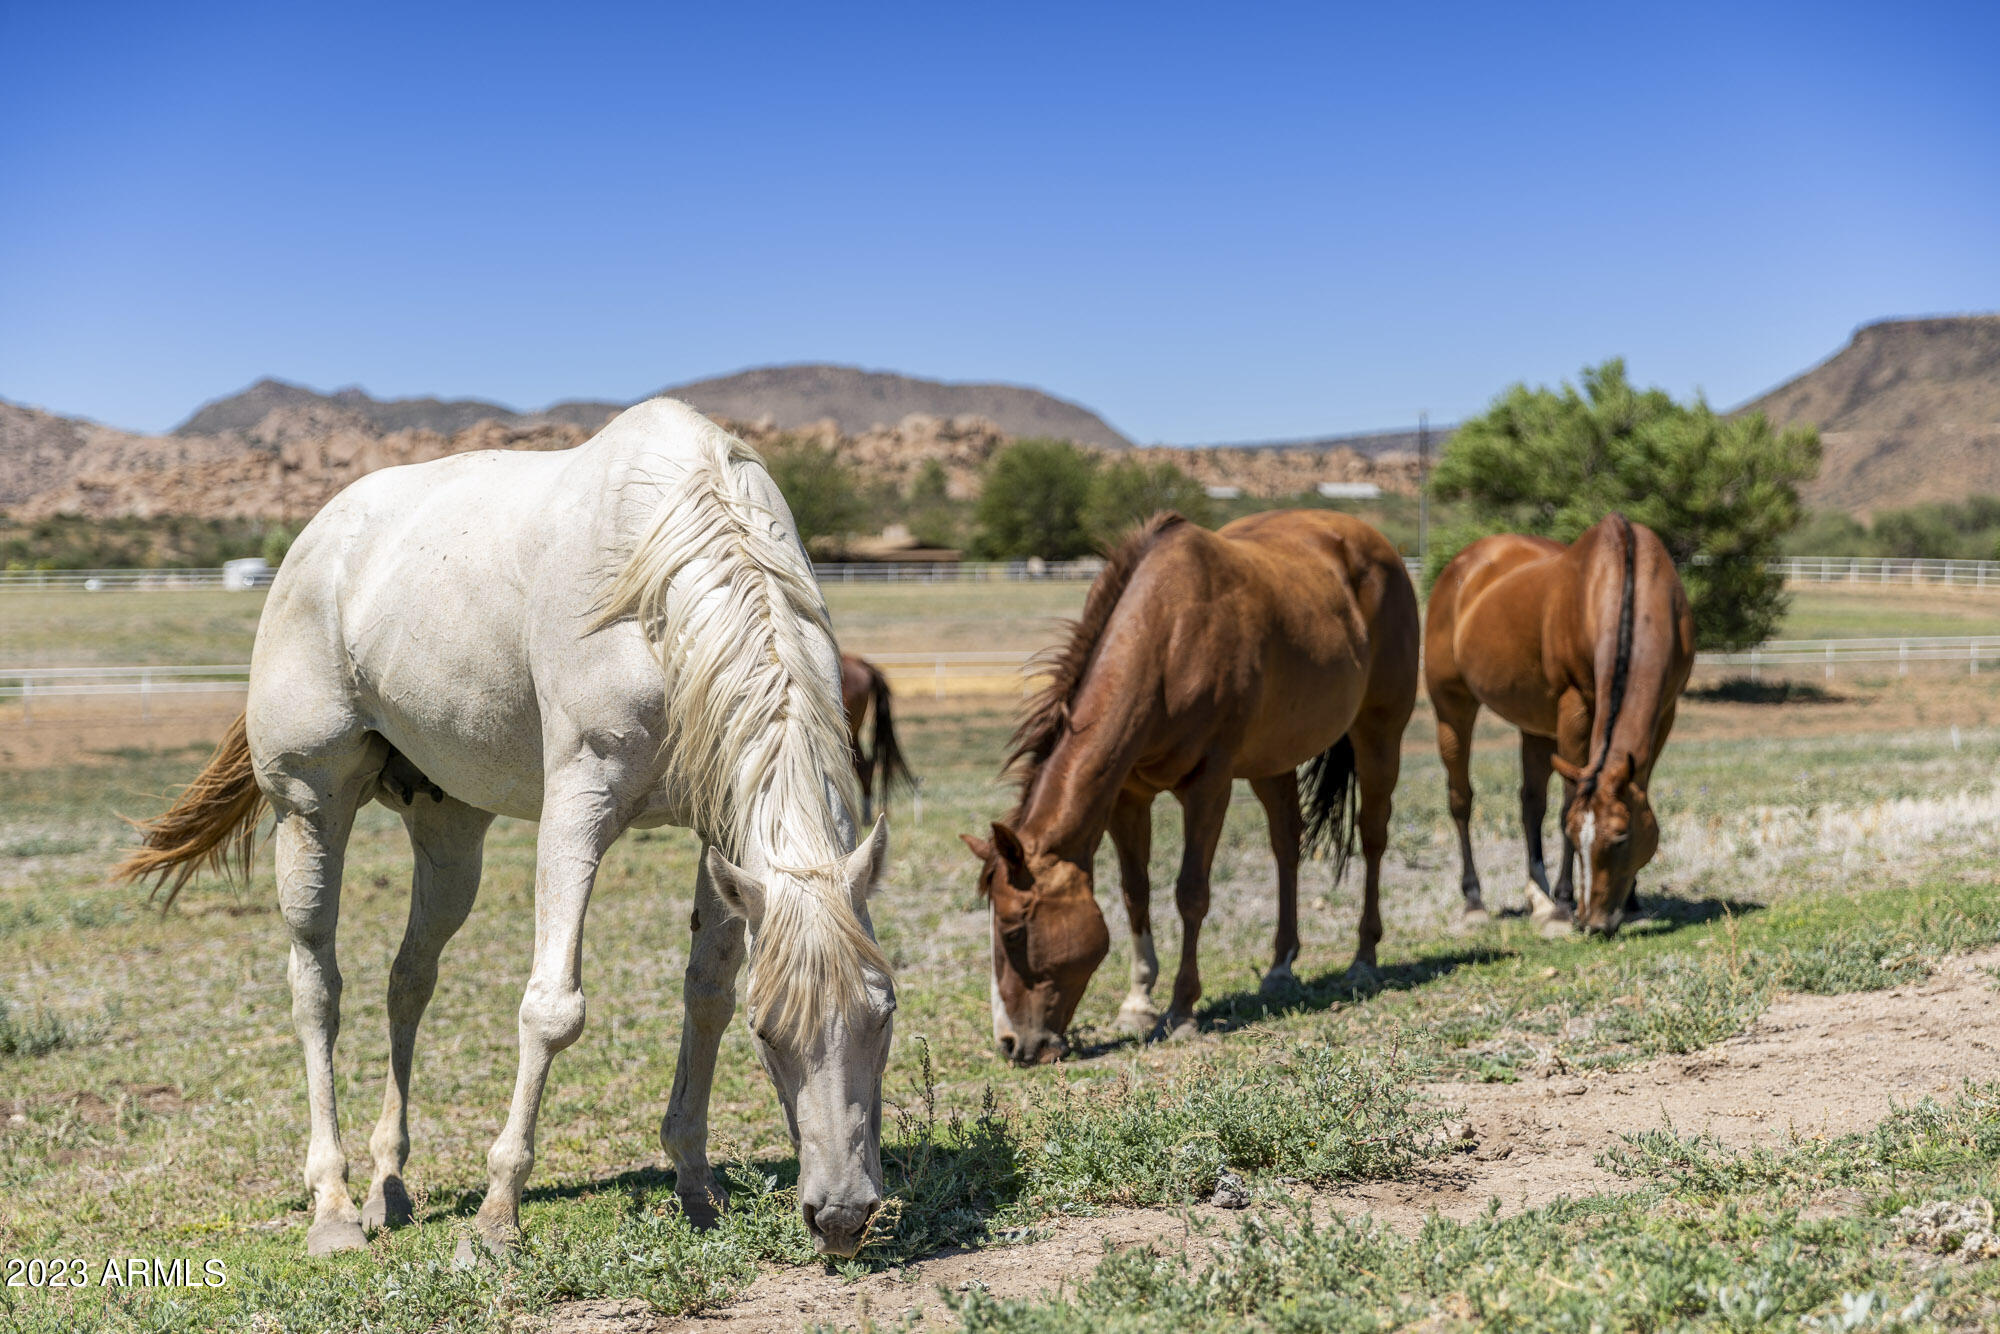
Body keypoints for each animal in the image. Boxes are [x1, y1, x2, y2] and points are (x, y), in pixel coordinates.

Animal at [114, 399, 896, 1260]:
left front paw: (696, 1184)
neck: (662, 574)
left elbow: (706, 992)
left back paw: (389, 1184)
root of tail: (311, 543)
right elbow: (553, 1009)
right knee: (316, 987)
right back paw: (334, 1204)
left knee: (408, 979)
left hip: (450, 834)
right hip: (309, 810)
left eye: (884, 1014)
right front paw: (496, 1218)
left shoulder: (720, 830)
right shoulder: (578, 806)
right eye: (769, 1033)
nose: (842, 1215)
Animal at [959, 510, 1420, 1065]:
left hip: (1380, 731)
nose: (1011, 1044)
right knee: (1287, 844)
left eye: (1012, 931)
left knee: (1372, 835)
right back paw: (1280, 968)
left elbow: (1190, 893)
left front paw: (1180, 1011)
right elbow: (1135, 891)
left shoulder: (1209, 786)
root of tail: (1376, 544)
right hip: (1272, 760)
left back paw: (1364, 957)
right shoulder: (1128, 795)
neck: (1169, 639)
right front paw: (1137, 1004)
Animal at [1424, 512, 1695, 935]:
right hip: (1451, 706)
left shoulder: (1666, 710)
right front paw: (1564, 906)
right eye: (1573, 832)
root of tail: (1460, 566)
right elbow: (1569, 798)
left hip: (1535, 724)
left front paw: (1632, 901)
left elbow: (1638, 786)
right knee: (1461, 798)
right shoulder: (1574, 707)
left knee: (1530, 802)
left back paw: (1538, 896)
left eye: (1622, 837)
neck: (1627, 577)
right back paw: (1475, 900)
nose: (1594, 922)